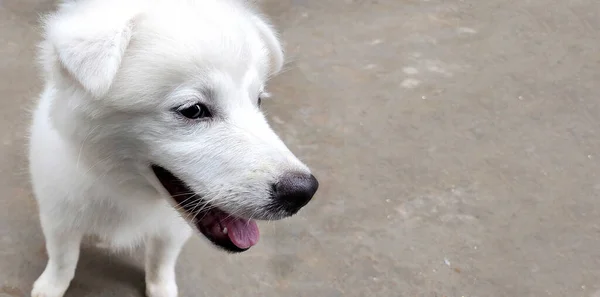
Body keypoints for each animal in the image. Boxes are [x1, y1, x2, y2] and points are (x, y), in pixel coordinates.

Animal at [28, 0, 318, 296]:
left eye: (257, 100)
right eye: (193, 110)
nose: (303, 192)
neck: (125, 189)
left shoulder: (171, 229)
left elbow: (160, 261)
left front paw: (161, 289)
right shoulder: (58, 216)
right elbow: (63, 258)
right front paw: (51, 286)